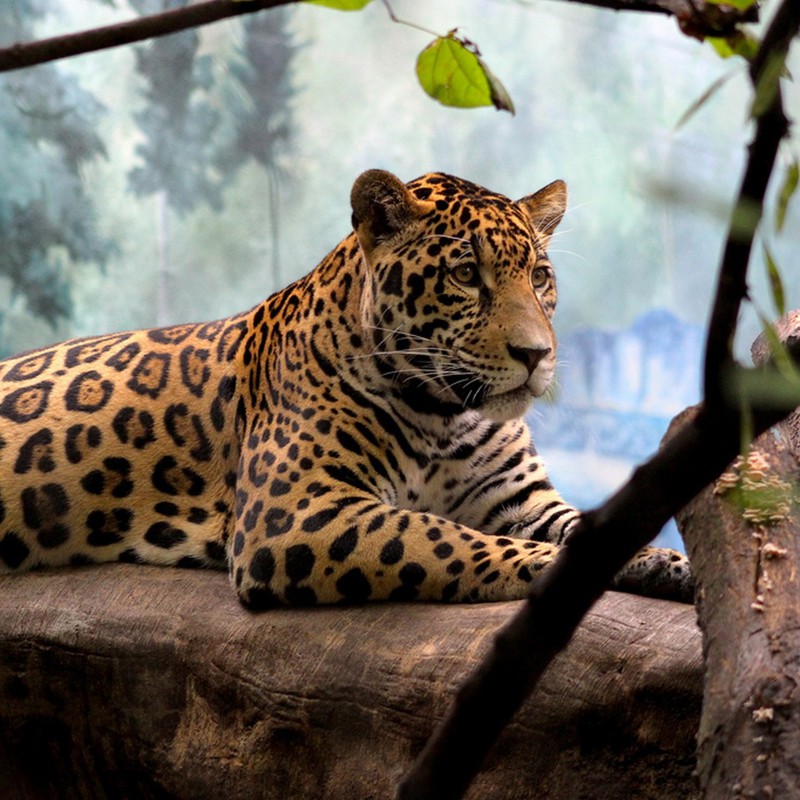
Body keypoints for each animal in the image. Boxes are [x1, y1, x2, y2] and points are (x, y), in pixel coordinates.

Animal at [0, 169, 693, 607]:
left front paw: (668, 564)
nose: (537, 355)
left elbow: (586, 525)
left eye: (541, 277)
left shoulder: (519, 501)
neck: (445, 416)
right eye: (467, 274)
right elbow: (448, 538)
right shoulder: (294, 511)